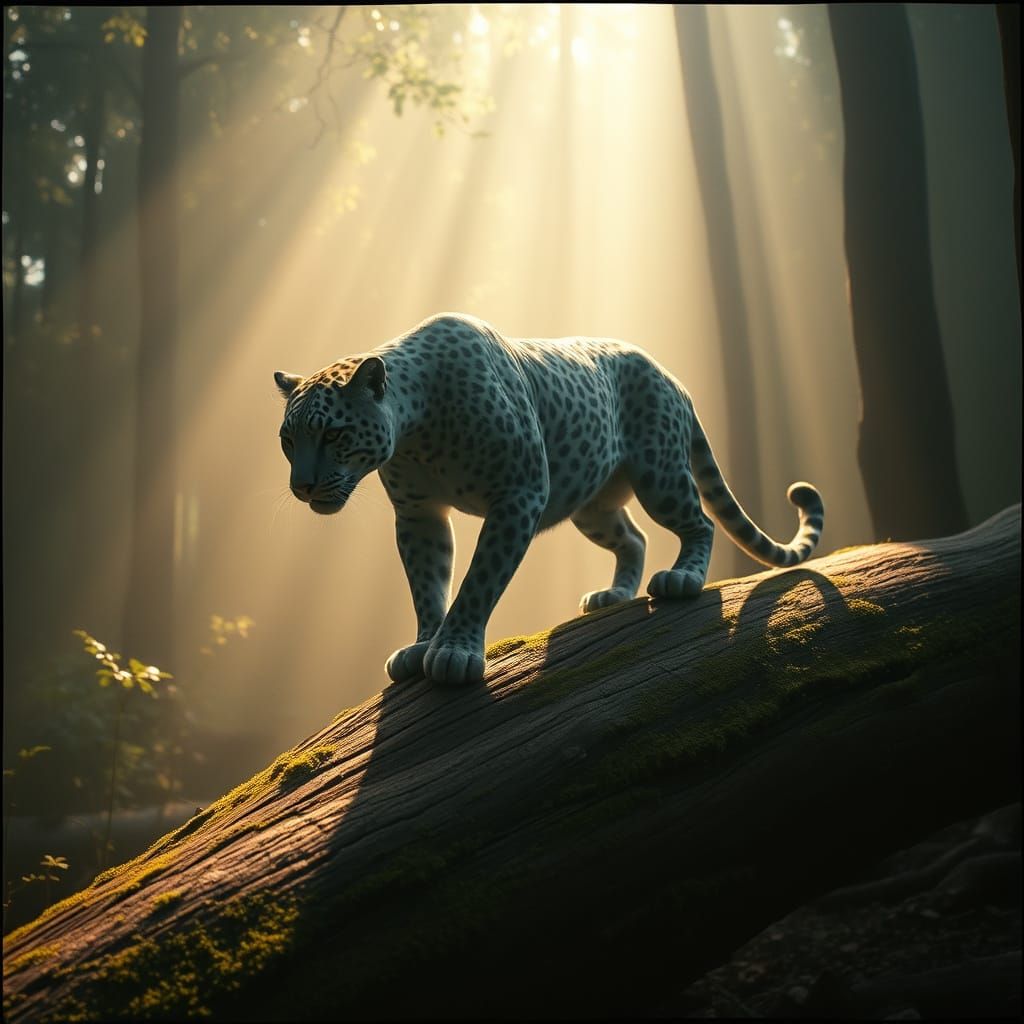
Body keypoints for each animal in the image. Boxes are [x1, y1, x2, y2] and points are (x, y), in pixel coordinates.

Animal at [275, 313, 824, 686]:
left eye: (333, 434)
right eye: (288, 440)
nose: (302, 487)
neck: (416, 431)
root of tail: (673, 378)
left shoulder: (518, 495)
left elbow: (477, 581)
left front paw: (453, 652)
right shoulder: (419, 516)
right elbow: (427, 585)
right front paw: (423, 644)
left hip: (659, 473)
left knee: (699, 523)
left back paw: (682, 578)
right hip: (592, 505)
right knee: (634, 538)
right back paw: (613, 595)